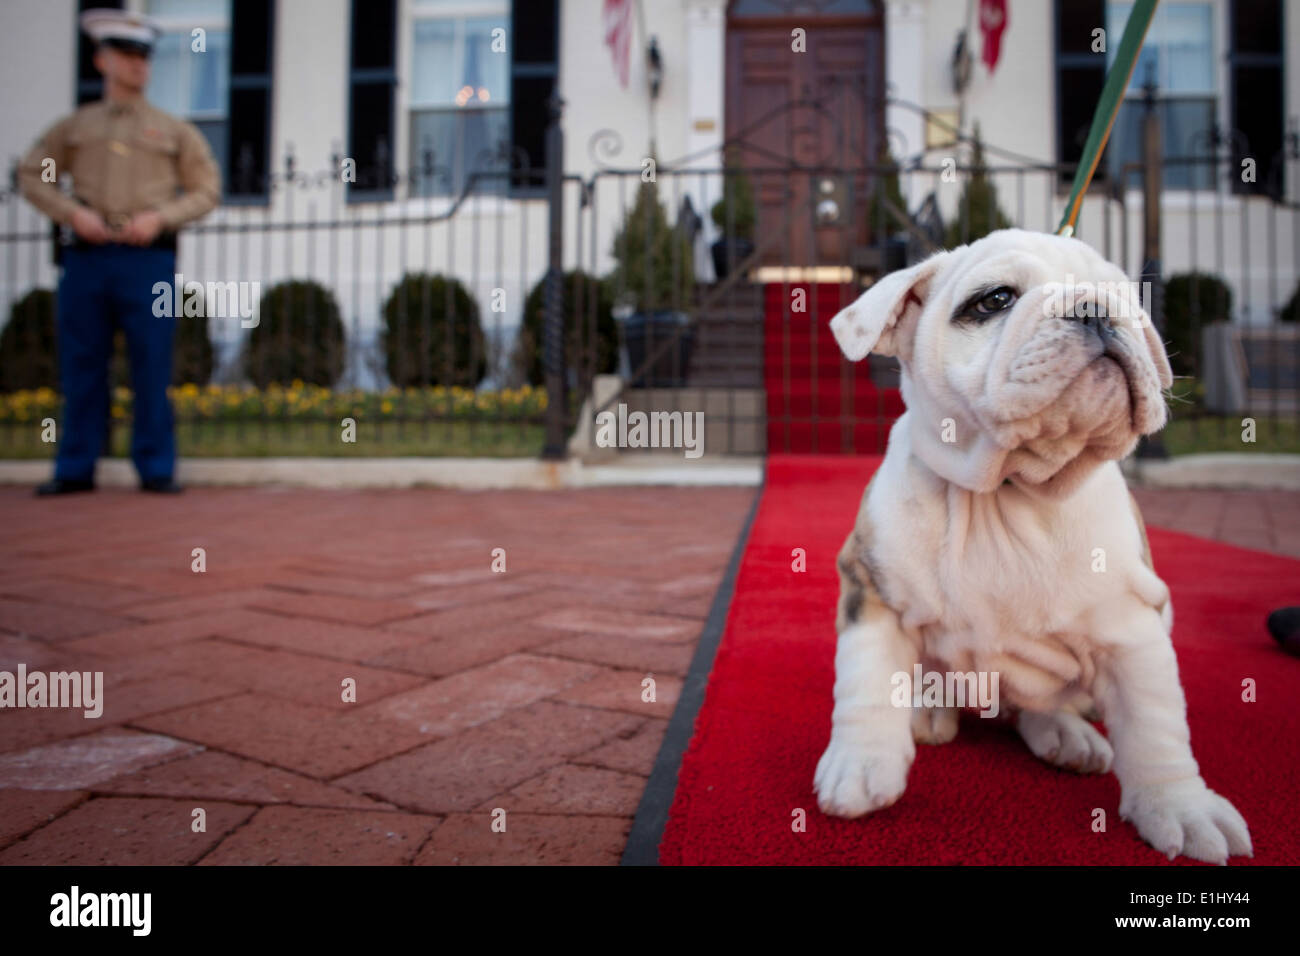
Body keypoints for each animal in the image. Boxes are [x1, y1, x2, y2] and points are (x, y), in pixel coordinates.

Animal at [816, 230, 1253, 868]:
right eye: (995, 299)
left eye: (1128, 300)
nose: (1095, 307)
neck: (1007, 492)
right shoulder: (872, 593)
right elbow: (866, 684)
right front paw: (860, 763)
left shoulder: (1133, 628)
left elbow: (1156, 725)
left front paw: (1180, 805)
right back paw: (928, 707)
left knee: (1044, 704)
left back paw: (1066, 734)